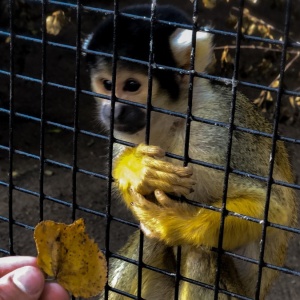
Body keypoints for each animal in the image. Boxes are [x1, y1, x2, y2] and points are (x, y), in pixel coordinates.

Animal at [84, 4, 298, 300]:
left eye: (131, 86)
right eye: (106, 84)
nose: (112, 111)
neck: (173, 118)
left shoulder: (215, 133)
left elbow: (274, 207)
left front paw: (176, 222)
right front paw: (136, 169)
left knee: (199, 252)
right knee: (150, 243)